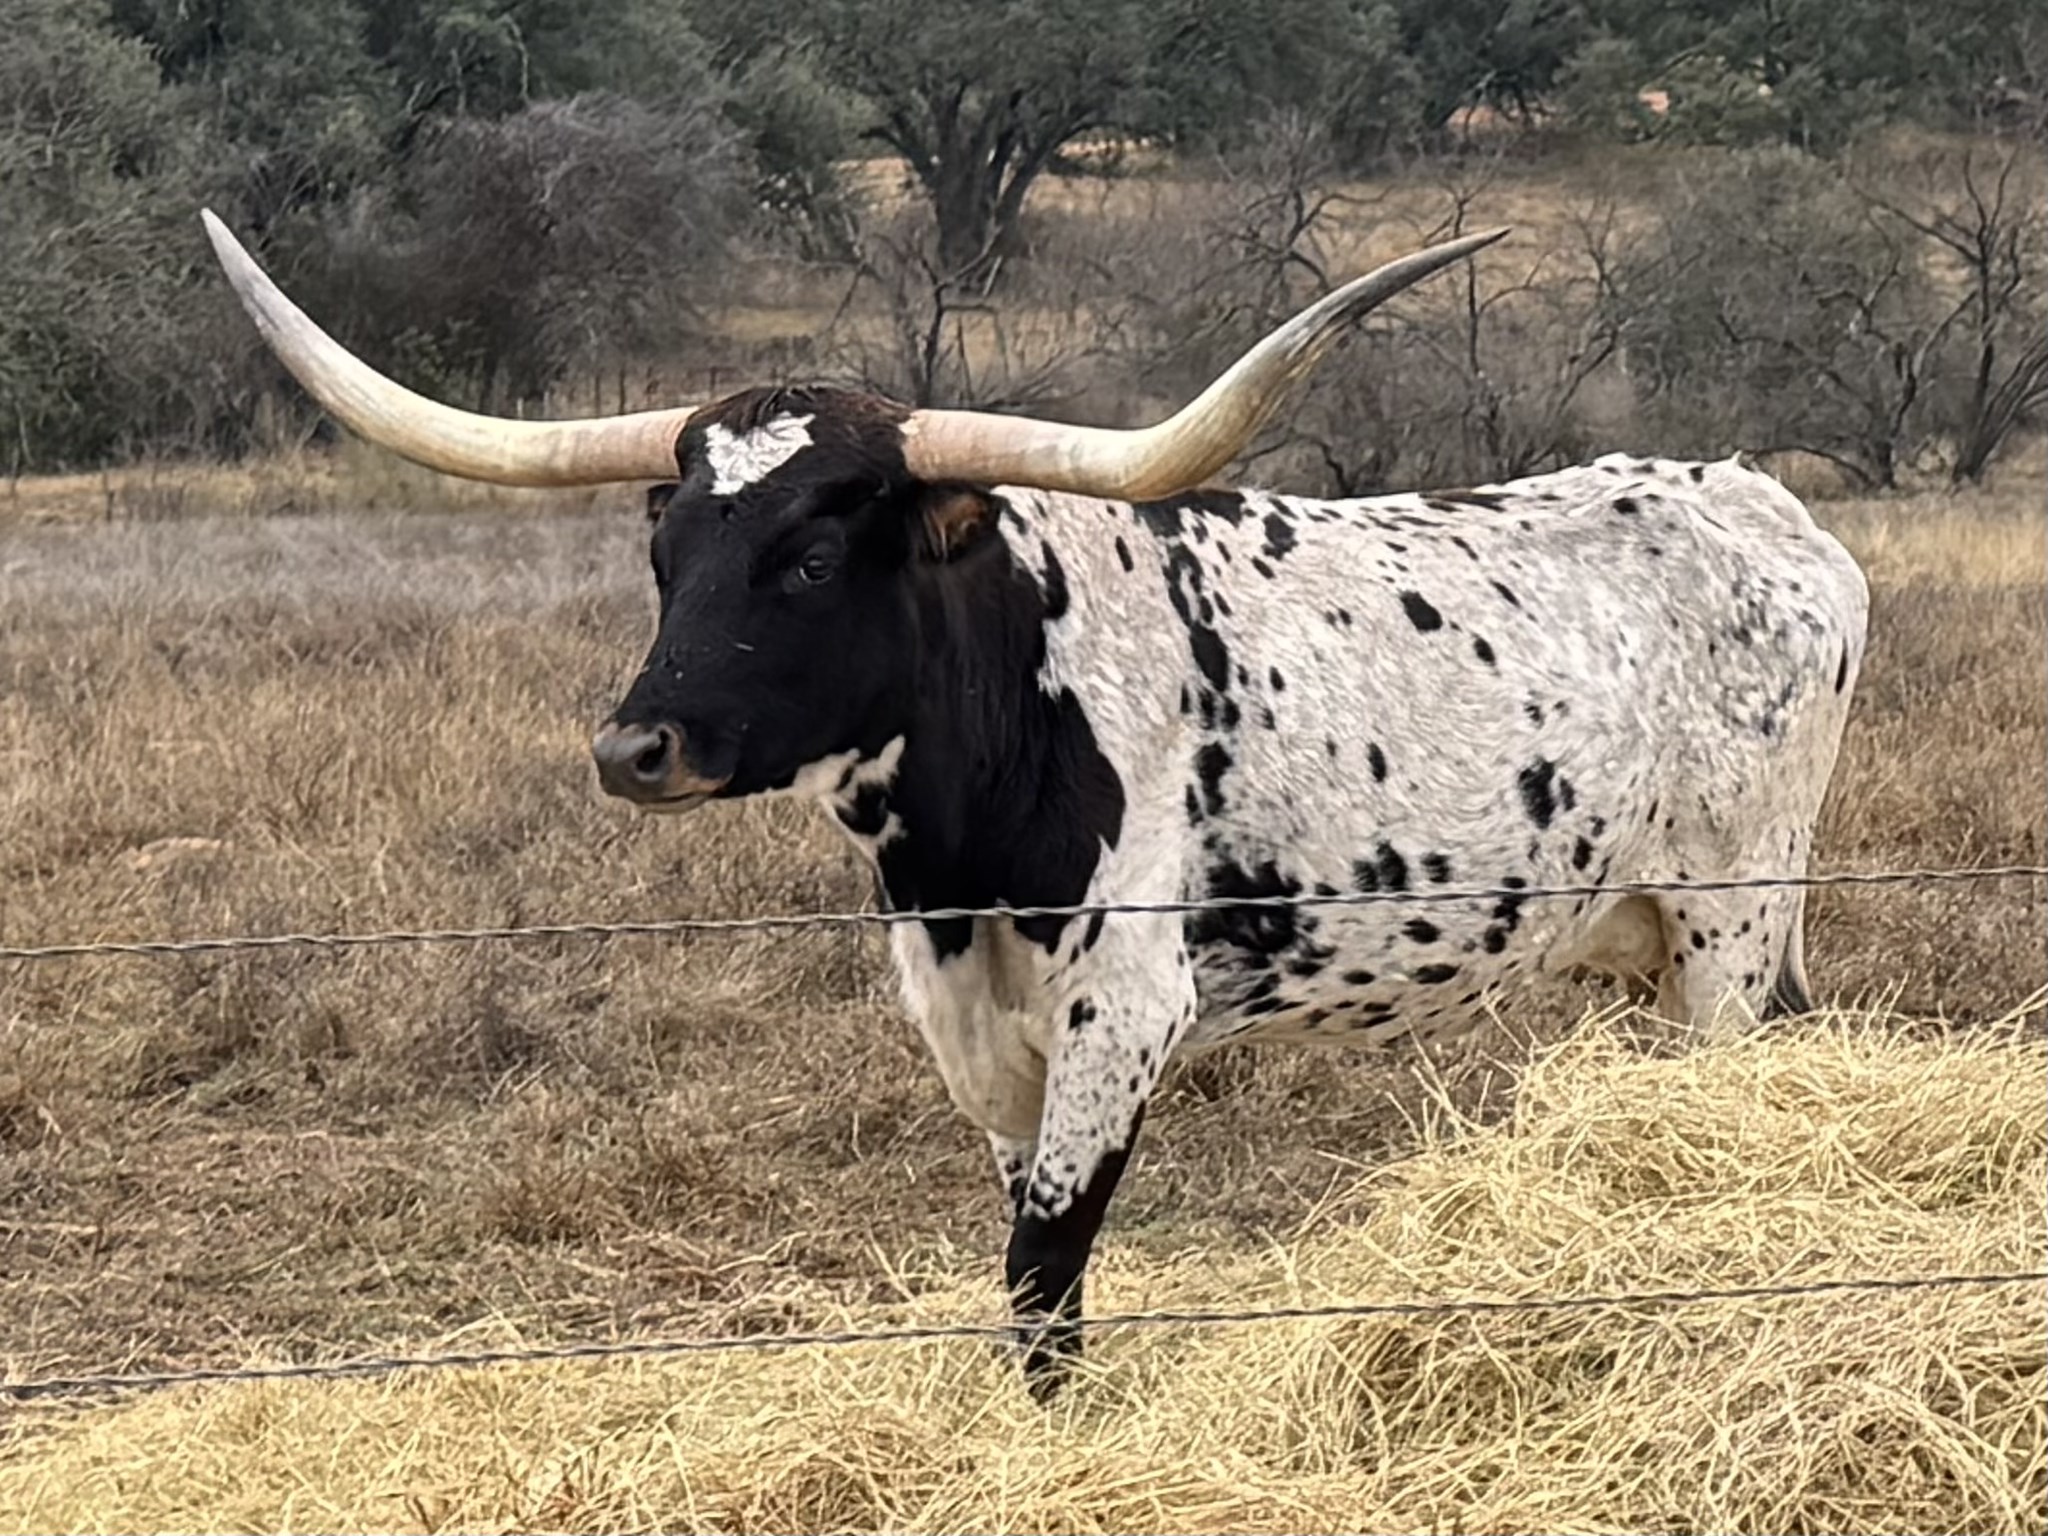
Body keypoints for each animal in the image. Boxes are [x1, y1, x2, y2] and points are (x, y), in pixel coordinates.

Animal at [201, 210, 1870, 1393]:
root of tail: (1764, 506)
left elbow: (1042, 1266)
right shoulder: (971, 1024)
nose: (634, 750)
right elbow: (1028, 1266)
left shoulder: (1124, 1008)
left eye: (811, 556)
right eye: (667, 551)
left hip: (1732, 922)